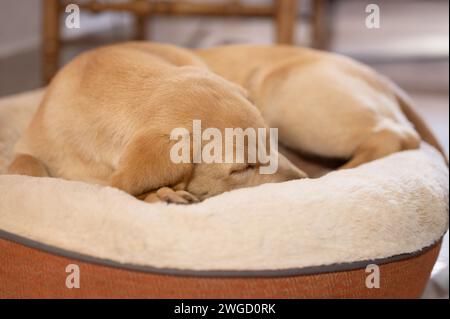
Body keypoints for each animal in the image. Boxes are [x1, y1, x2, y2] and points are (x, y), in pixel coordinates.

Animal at [7, 42, 306, 204]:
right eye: (242, 168)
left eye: (271, 142)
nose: (304, 182)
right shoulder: (27, 147)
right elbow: (25, 167)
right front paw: (159, 194)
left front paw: (158, 194)